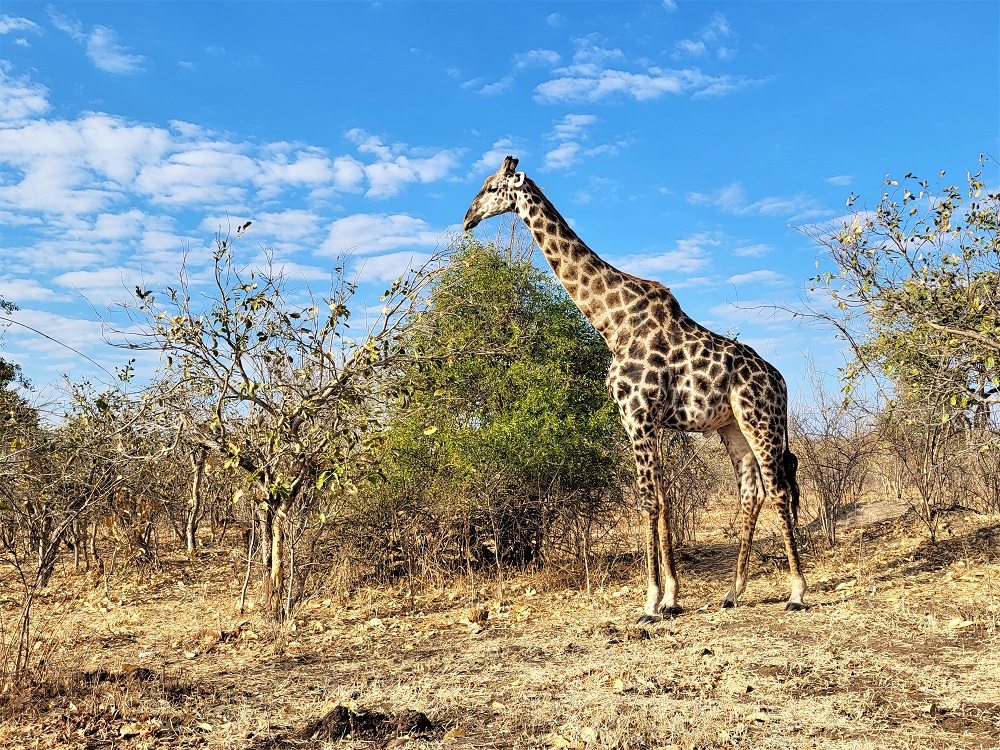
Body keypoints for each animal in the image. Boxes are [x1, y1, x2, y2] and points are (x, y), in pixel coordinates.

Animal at [463, 156, 807, 622]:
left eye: (492, 187)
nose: (467, 218)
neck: (612, 322)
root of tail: (781, 381)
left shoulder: (637, 414)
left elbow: (649, 502)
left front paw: (650, 603)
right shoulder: (648, 420)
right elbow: (662, 501)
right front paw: (672, 599)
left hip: (761, 419)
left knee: (780, 490)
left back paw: (797, 593)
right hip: (732, 426)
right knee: (752, 492)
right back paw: (733, 593)